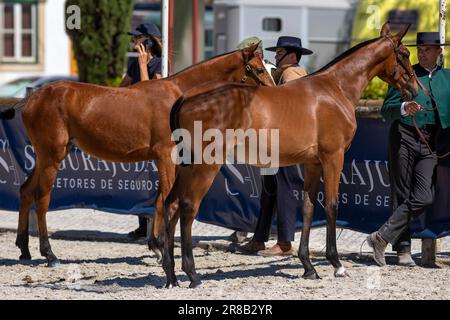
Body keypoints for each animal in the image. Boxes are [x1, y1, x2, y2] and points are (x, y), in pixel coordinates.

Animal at [0, 43, 274, 268]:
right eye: (259, 70)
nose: (274, 94)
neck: (178, 95)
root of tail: (33, 97)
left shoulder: (165, 159)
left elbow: (158, 199)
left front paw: (155, 246)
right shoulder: (166, 155)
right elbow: (166, 197)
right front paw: (163, 247)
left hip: (46, 156)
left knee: (26, 191)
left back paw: (24, 249)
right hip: (52, 156)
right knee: (42, 199)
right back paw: (49, 254)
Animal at [162, 22, 418, 288]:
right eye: (404, 54)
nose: (414, 89)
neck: (335, 88)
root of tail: (186, 97)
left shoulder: (313, 163)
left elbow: (307, 207)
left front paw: (308, 267)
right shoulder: (333, 157)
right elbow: (332, 205)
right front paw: (336, 264)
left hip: (186, 165)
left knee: (170, 204)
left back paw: (171, 276)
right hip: (205, 165)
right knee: (188, 206)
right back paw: (192, 274)